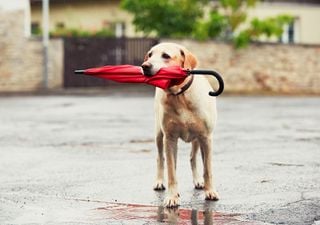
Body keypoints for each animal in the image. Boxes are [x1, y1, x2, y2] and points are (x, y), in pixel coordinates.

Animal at [141, 42, 219, 207]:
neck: (180, 96)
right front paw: (172, 196)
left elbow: (207, 169)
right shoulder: (170, 138)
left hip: (197, 139)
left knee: (192, 157)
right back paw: (160, 181)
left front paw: (210, 191)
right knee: (161, 158)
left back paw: (198, 181)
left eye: (166, 55)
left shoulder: (206, 137)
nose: (145, 66)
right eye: (150, 55)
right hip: (159, 135)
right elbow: (171, 171)